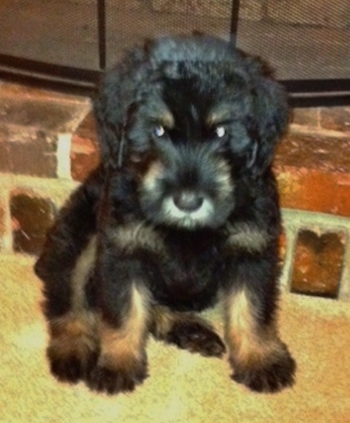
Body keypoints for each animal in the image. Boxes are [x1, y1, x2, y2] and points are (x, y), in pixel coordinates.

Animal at [34, 34, 296, 396]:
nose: (187, 201)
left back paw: (190, 330)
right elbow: (124, 312)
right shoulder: (122, 250)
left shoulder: (252, 250)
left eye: (220, 132)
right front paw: (117, 364)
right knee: (71, 300)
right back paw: (73, 349)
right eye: (158, 130)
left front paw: (261, 359)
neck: (187, 230)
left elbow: (252, 310)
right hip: (78, 239)